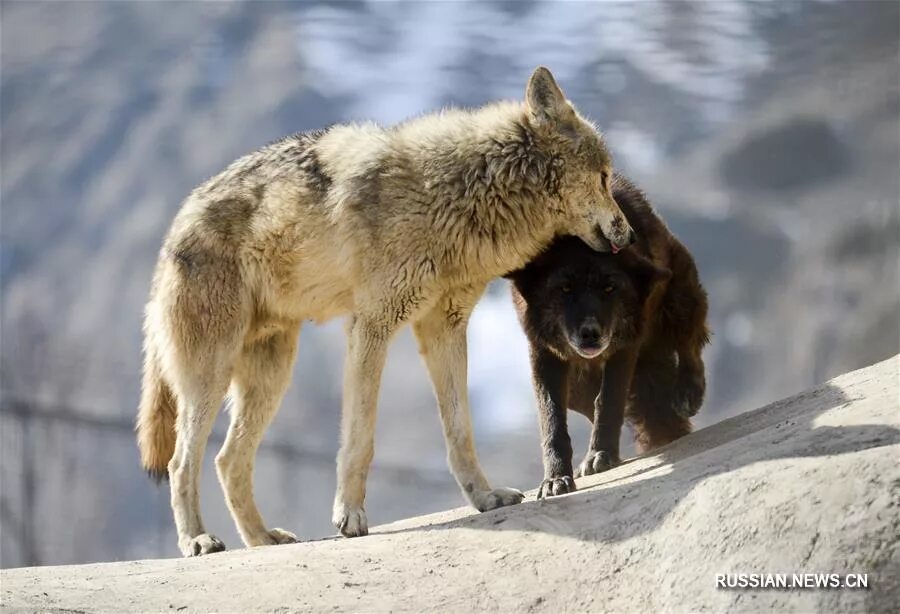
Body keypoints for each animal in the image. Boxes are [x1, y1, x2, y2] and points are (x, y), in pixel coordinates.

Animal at [137, 67, 636, 560]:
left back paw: (261, 539)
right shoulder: (372, 326)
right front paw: (350, 517)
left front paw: (484, 497)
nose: (629, 235)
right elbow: (360, 439)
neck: (458, 193)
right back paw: (198, 541)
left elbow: (460, 431)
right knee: (181, 462)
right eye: (604, 177)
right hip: (211, 377)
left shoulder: (444, 329)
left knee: (228, 460)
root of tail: (174, 230)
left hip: (271, 378)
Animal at [510, 173, 708, 500]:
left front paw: (600, 455)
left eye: (609, 287)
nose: (591, 334)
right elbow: (552, 420)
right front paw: (556, 478)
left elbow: (609, 399)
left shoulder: (624, 345)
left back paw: (688, 392)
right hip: (577, 385)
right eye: (564, 288)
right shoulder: (543, 353)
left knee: (691, 346)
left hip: (679, 303)